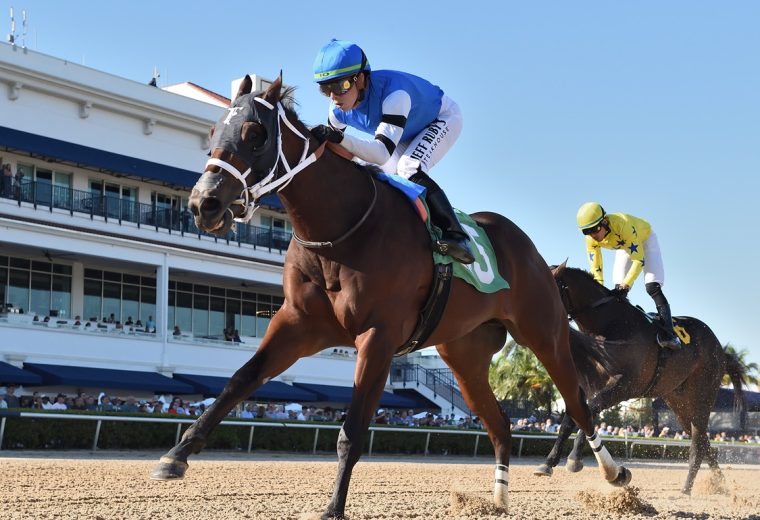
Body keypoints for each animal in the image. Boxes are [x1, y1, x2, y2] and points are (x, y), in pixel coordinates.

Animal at [148, 75, 628, 516]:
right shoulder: (298, 324)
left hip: (543, 334)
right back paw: (498, 498)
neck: (340, 231)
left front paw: (333, 507)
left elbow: (353, 429)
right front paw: (176, 456)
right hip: (465, 357)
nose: (204, 204)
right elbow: (239, 380)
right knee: (501, 423)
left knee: (578, 405)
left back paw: (613, 473)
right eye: (213, 132)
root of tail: (528, 247)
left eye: (255, 134)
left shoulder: (377, 337)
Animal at [536, 262, 748, 494]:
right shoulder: (589, 387)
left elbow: (589, 413)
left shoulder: (624, 386)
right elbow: (572, 419)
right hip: (678, 403)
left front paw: (576, 460)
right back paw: (720, 483)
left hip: (703, 395)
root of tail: (720, 349)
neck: (609, 326)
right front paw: (548, 463)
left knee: (698, 444)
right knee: (702, 440)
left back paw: (687, 488)